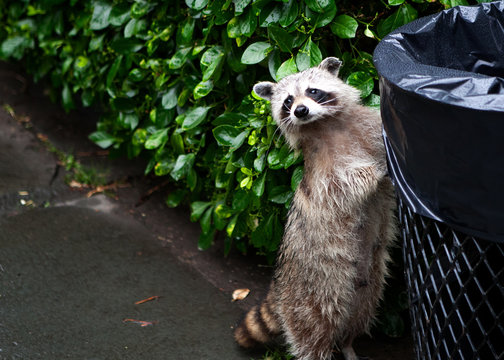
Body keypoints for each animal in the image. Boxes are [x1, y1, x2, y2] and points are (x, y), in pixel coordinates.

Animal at [233, 57, 398, 360]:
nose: (300, 110)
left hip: (368, 283)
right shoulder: (321, 173)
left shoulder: (367, 127)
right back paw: (319, 349)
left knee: (362, 311)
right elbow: (341, 187)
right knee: (313, 328)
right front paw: (375, 172)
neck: (325, 124)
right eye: (288, 100)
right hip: (311, 291)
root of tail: (281, 284)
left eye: (313, 91)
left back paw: (348, 344)